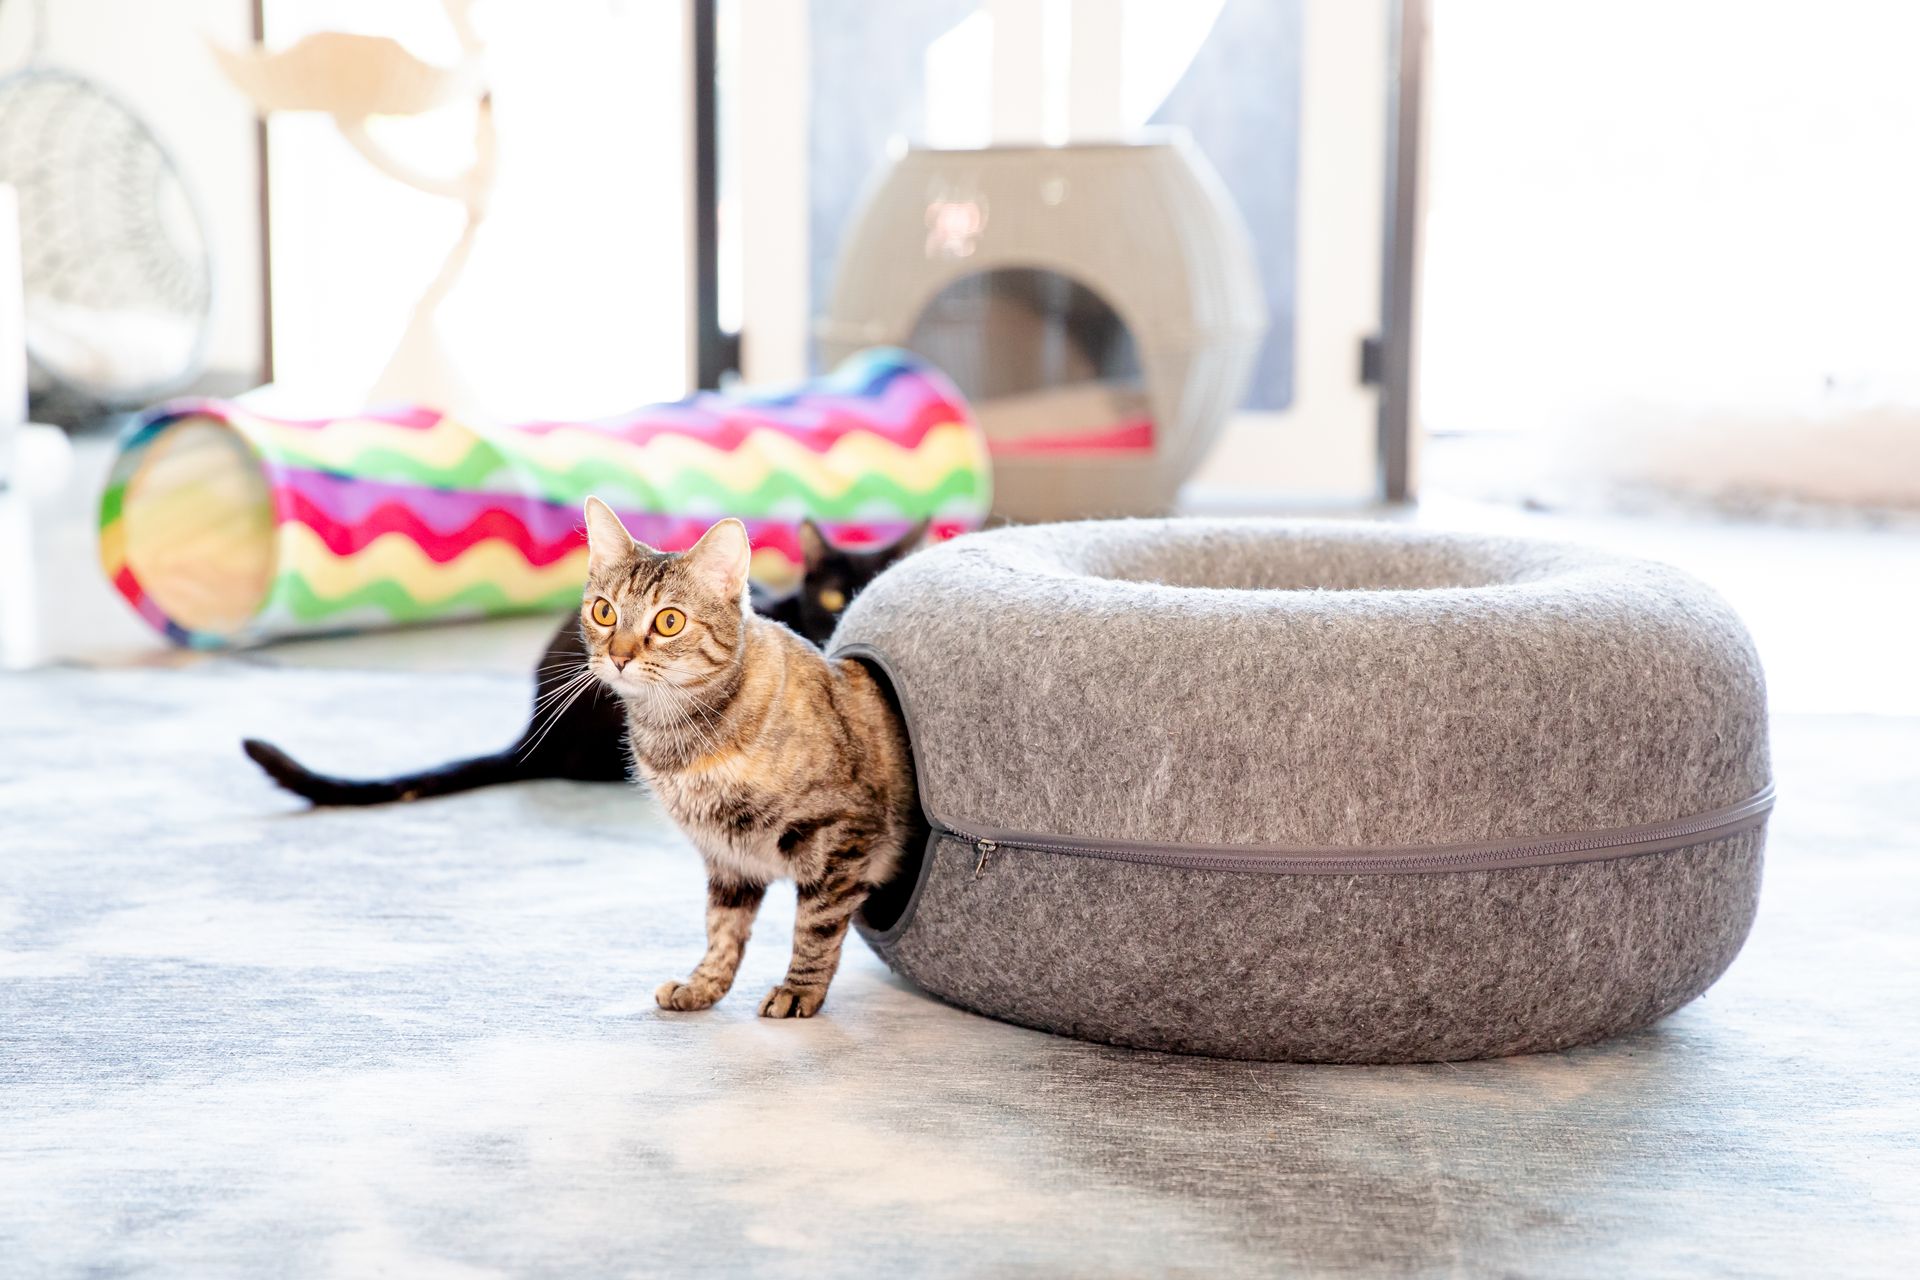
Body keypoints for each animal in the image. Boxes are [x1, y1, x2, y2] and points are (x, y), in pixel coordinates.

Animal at [572, 498, 917, 1020]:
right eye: (604, 611)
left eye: (669, 621)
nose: (619, 656)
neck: (680, 738)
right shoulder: (727, 857)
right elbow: (722, 927)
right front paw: (703, 984)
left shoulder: (844, 833)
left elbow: (816, 925)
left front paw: (799, 990)